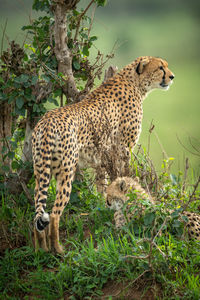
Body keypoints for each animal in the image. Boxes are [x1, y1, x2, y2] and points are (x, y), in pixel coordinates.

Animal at [32, 55, 174, 252]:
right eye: (160, 67)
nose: (172, 77)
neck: (134, 82)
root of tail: (46, 122)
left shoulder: (101, 156)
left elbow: (102, 184)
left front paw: (103, 203)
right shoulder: (124, 149)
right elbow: (124, 175)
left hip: (40, 172)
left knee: (37, 212)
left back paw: (41, 250)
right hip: (66, 172)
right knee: (53, 214)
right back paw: (59, 249)